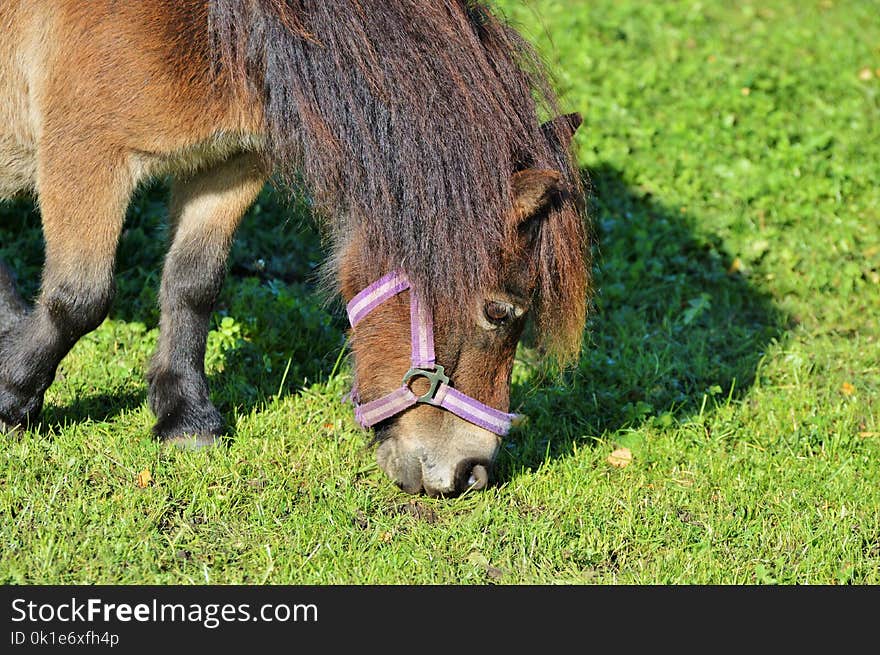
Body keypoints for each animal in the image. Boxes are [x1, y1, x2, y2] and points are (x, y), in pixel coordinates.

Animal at [3, 1, 592, 498]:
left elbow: (193, 285)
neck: (214, 30)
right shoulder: (87, 154)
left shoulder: (227, 164)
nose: (473, 473)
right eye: (499, 311)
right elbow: (79, 299)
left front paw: (186, 417)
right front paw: (12, 398)